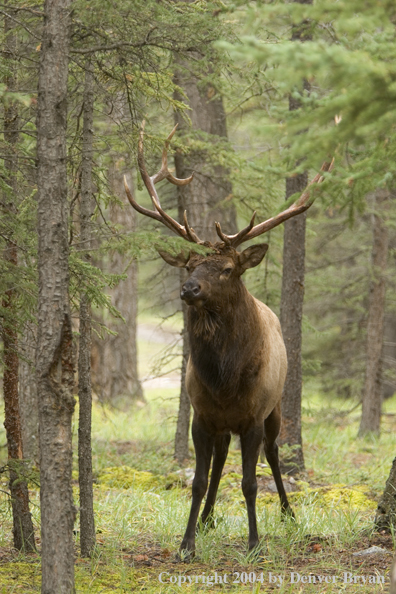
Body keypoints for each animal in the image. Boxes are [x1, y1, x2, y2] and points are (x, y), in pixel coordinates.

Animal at [124, 122, 334, 552]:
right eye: (189, 264)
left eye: (226, 269)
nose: (188, 289)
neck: (224, 380)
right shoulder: (201, 416)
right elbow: (198, 481)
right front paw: (187, 542)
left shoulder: (253, 416)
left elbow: (251, 483)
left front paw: (254, 542)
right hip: (222, 425)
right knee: (221, 458)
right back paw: (207, 519)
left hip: (275, 407)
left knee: (273, 452)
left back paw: (288, 513)